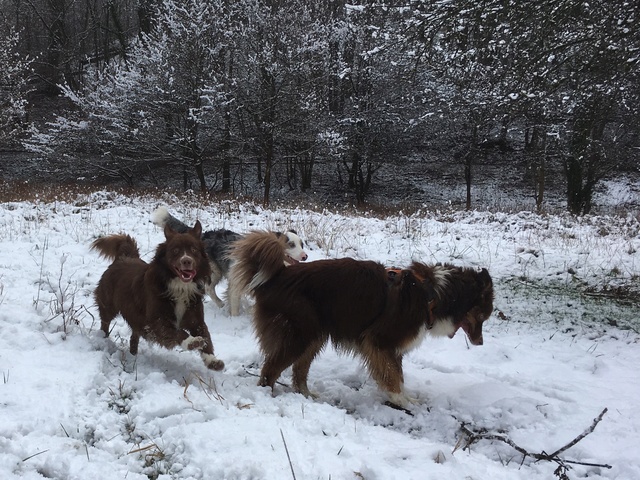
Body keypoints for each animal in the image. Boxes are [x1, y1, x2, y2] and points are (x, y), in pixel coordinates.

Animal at [90, 221, 225, 372]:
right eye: (175, 250)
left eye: (194, 250)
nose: (186, 261)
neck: (180, 287)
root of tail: (124, 257)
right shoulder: (155, 322)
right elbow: (177, 331)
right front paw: (192, 341)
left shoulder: (196, 319)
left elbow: (206, 337)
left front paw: (212, 361)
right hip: (108, 305)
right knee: (105, 323)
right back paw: (103, 340)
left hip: (136, 316)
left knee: (134, 336)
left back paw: (133, 355)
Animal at [151, 206, 308, 316]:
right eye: (291, 244)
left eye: (302, 244)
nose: (305, 256)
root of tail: (204, 234)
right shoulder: (236, 283)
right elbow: (234, 305)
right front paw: (234, 318)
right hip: (215, 271)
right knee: (209, 288)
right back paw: (220, 304)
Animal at [230, 232, 496, 408]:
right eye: (484, 315)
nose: (481, 343)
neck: (432, 294)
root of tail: (276, 276)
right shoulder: (380, 341)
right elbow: (393, 376)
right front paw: (401, 400)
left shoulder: (391, 347)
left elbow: (398, 375)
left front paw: (405, 397)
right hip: (298, 334)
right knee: (270, 370)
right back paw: (269, 397)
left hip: (314, 335)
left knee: (298, 372)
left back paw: (306, 395)